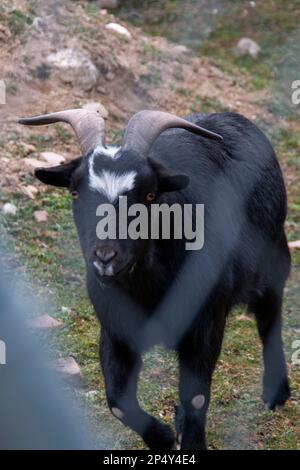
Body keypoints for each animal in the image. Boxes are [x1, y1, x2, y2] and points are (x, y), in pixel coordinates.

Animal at [19, 108, 290, 450]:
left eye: (149, 195)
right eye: (75, 192)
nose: (105, 257)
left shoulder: (205, 322)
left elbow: (196, 397)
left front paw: (190, 444)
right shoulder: (117, 329)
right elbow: (118, 401)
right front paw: (163, 438)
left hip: (272, 255)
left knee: (270, 316)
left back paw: (276, 392)